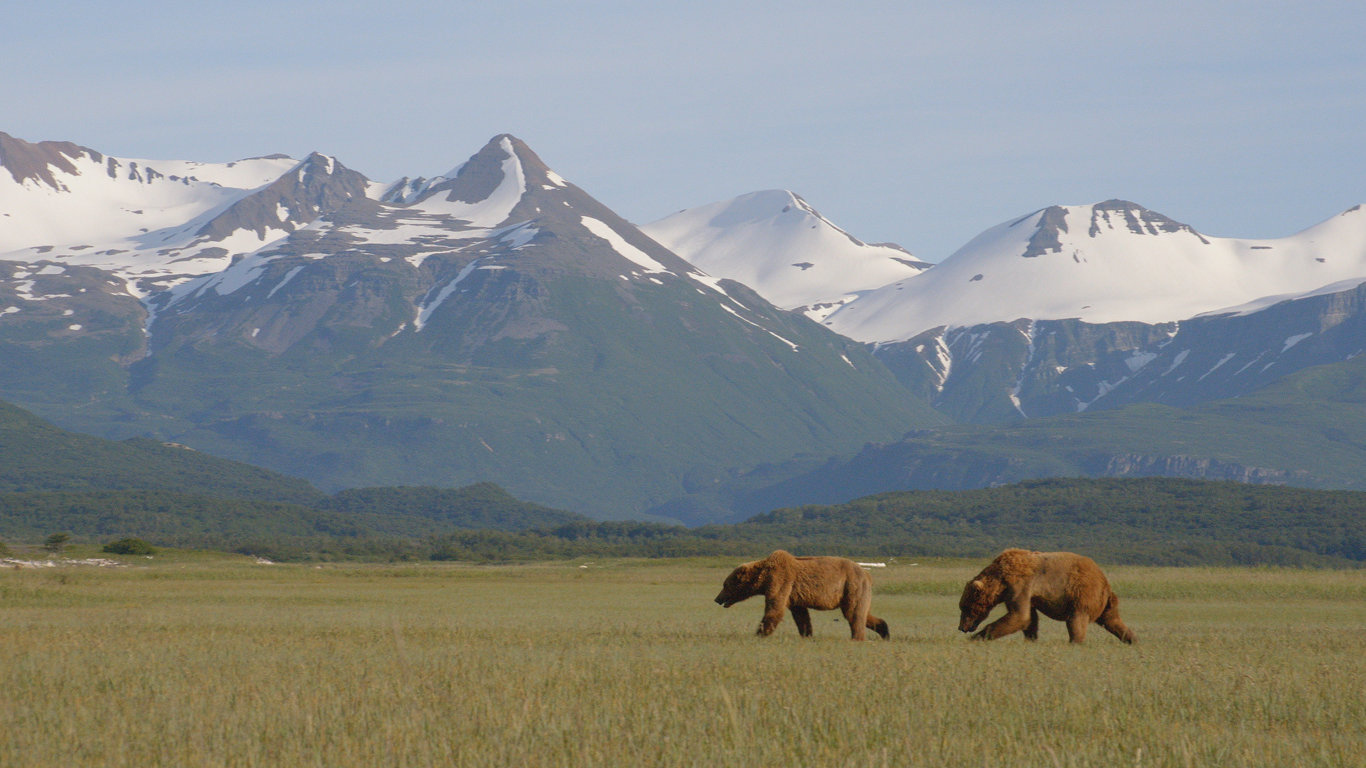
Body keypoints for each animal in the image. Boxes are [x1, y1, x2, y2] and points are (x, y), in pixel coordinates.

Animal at [710, 546, 890, 636]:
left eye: (725, 585)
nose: (717, 599)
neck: (763, 576)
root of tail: (867, 573)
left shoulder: (781, 579)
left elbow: (775, 608)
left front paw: (759, 633)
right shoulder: (794, 595)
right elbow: (801, 615)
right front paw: (807, 634)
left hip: (852, 586)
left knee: (854, 614)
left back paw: (857, 637)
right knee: (863, 614)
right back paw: (884, 630)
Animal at [956, 546, 1136, 642]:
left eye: (964, 607)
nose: (961, 627)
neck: (1001, 578)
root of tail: (1105, 582)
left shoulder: (1019, 585)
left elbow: (1019, 616)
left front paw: (977, 637)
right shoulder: (1025, 594)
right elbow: (1029, 618)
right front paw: (1031, 638)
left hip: (1082, 594)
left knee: (1076, 621)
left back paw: (1074, 642)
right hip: (1104, 603)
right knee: (1113, 621)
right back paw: (1133, 640)